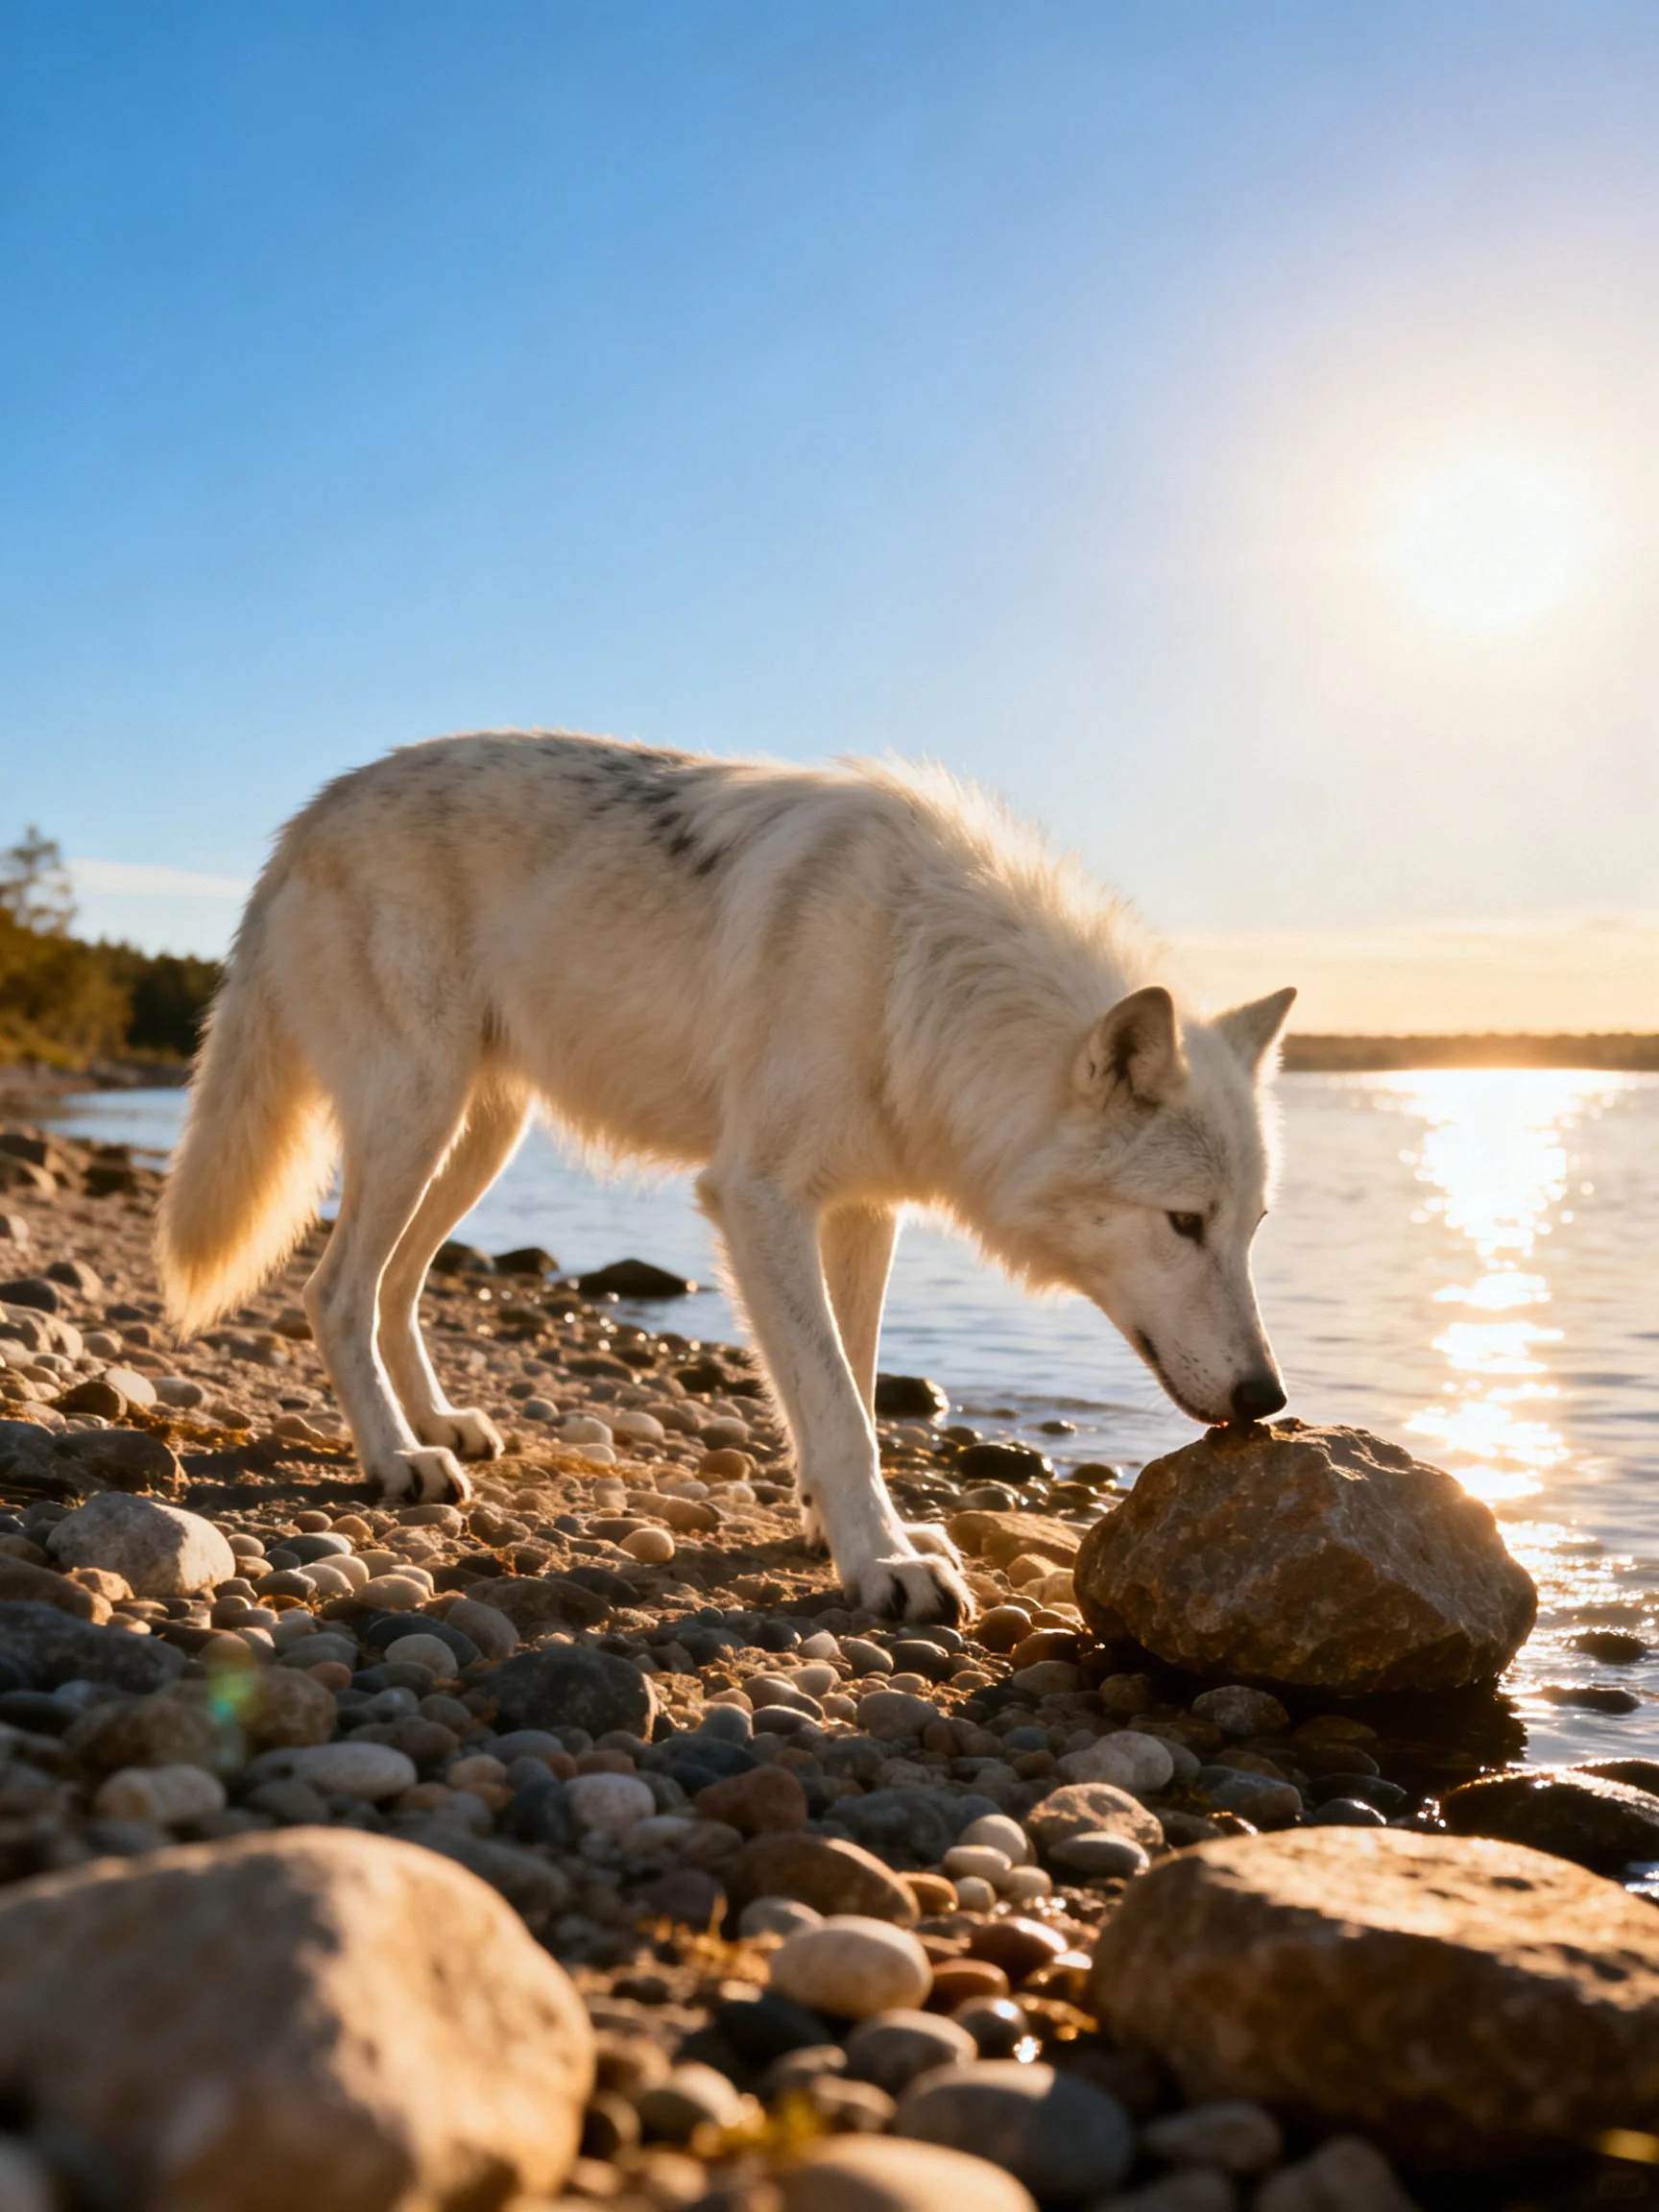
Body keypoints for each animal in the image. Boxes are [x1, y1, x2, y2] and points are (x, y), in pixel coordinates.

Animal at [157, 731, 1295, 1624]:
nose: (1270, 1398)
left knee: (397, 1284)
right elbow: (837, 1404)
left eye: (1251, 1229)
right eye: (1184, 1222)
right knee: (333, 1290)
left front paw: (844, 1532)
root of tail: (309, 816)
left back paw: (437, 1427)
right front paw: (883, 1562)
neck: (915, 969)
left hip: (476, 1138)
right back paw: (398, 1461)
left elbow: (849, 1384)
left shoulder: (862, 1210)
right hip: (416, 1118)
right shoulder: (757, 1198)